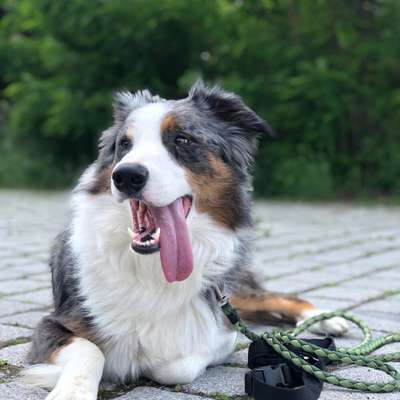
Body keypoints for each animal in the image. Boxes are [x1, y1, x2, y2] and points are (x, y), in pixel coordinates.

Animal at [22, 81, 346, 400]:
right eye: (124, 144)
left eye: (182, 139)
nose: (125, 175)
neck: (152, 270)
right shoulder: (53, 323)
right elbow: (92, 351)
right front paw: (71, 390)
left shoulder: (221, 332)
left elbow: (178, 365)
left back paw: (325, 318)